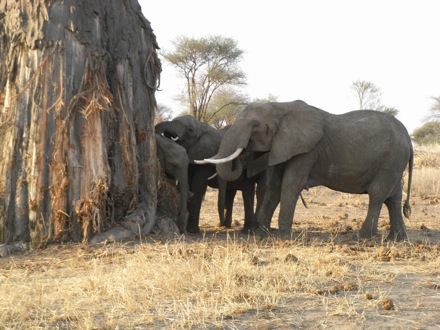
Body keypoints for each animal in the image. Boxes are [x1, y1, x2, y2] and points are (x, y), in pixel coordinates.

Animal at [203, 99, 412, 241]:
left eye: (255, 125)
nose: (245, 150)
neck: (281, 107)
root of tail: (409, 139)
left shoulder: (307, 150)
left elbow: (290, 184)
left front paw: (283, 236)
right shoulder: (284, 146)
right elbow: (274, 187)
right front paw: (261, 233)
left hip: (392, 159)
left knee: (377, 194)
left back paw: (364, 236)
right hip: (393, 162)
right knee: (393, 197)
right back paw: (397, 238)